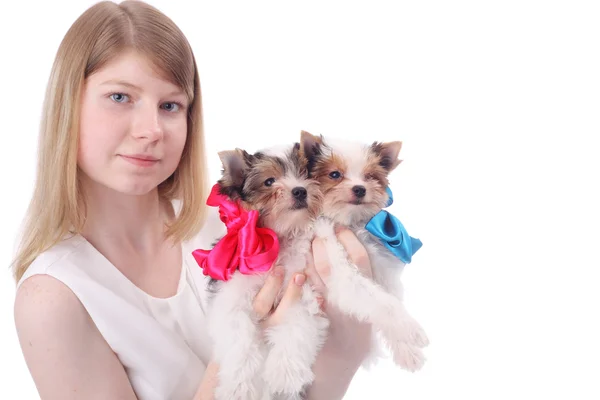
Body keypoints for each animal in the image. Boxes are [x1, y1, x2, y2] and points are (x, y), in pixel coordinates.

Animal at [195, 144, 328, 400]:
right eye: (269, 181)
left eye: (304, 173)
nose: (300, 191)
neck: (278, 238)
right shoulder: (232, 296)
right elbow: (239, 336)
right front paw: (238, 387)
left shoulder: (300, 287)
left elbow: (297, 323)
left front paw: (286, 373)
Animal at [298, 130, 428, 372]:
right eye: (335, 174)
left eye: (369, 176)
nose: (360, 188)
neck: (350, 223)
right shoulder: (341, 270)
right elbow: (384, 302)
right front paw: (409, 328)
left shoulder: (378, 266)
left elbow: (387, 297)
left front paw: (406, 350)